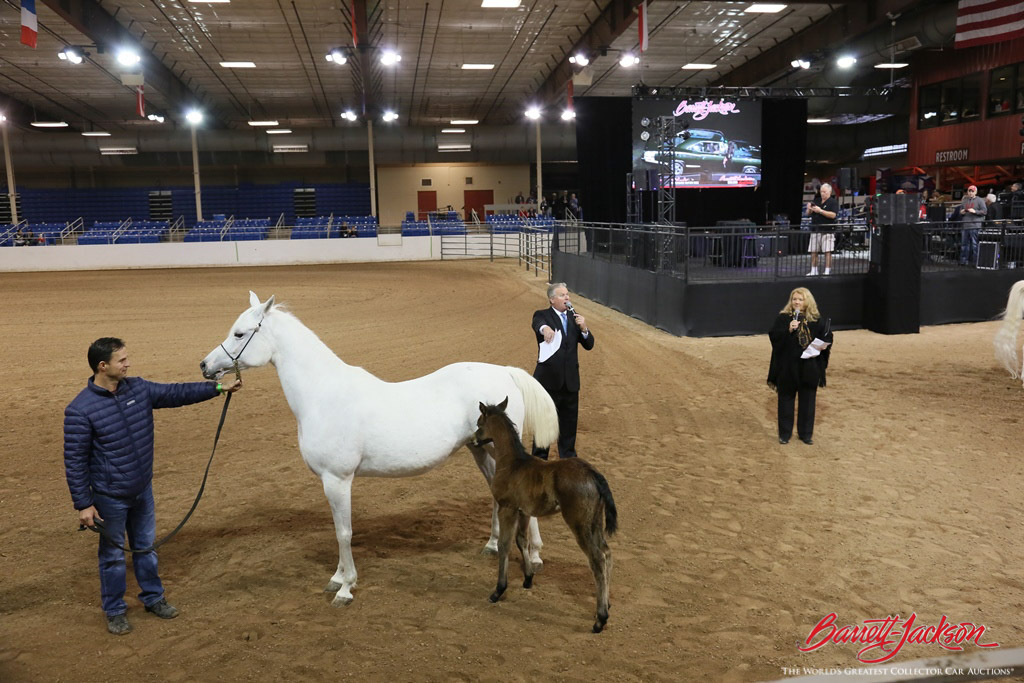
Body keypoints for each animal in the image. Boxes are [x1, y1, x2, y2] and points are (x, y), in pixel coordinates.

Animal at [200, 290, 561, 606]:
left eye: (239, 333)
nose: (205, 366)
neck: (322, 394)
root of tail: (505, 373)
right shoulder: (329, 481)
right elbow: (338, 530)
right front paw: (336, 577)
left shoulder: (338, 479)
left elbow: (344, 532)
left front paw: (345, 588)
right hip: (480, 450)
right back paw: (493, 545)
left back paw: (534, 556)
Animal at [473, 397, 614, 634]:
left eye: (479, 423)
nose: (474, 439)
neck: (512, 462)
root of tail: (593, 474)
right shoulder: (524, 512)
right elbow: (522, 541)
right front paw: (528, 579)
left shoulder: (507, 508)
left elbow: (504, 544)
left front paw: (498, 590)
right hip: (595, 522)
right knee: (607, 552)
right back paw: (607, 603)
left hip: (579, 524)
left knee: (597, 559)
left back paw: (600, 619)